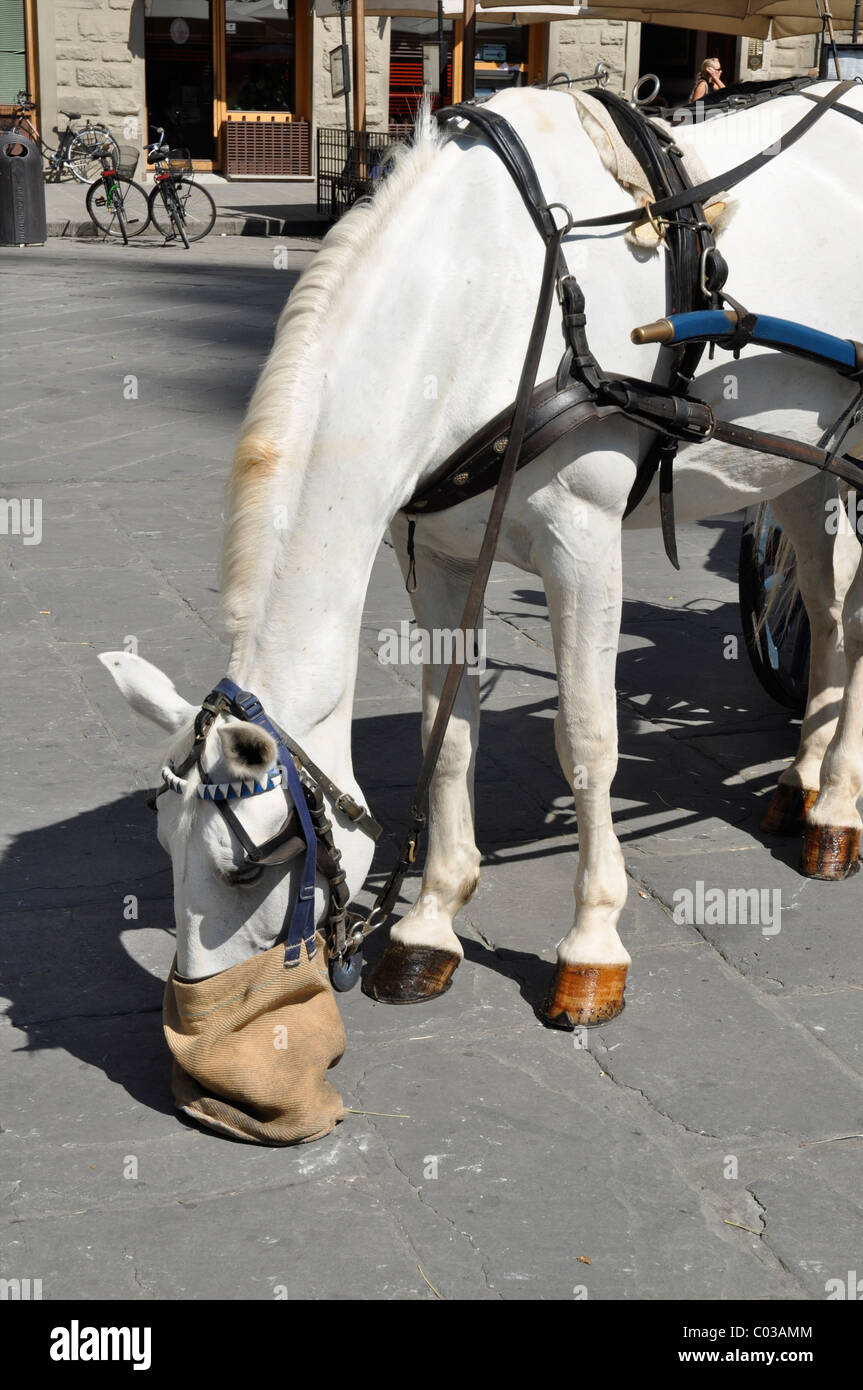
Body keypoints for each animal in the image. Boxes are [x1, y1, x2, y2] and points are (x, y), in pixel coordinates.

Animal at [100, 81, 863, 1040]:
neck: (478, 292)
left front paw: (591, 948)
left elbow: (588, 739)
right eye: (163, 840)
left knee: (854, 620)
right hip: (798, 464)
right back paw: (802, 785)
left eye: (250, 865)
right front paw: (429, 924)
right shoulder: (434, 554)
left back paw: (837, 812)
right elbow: (449, 733)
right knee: (826, 612)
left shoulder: (582, 537)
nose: (196, 1025)